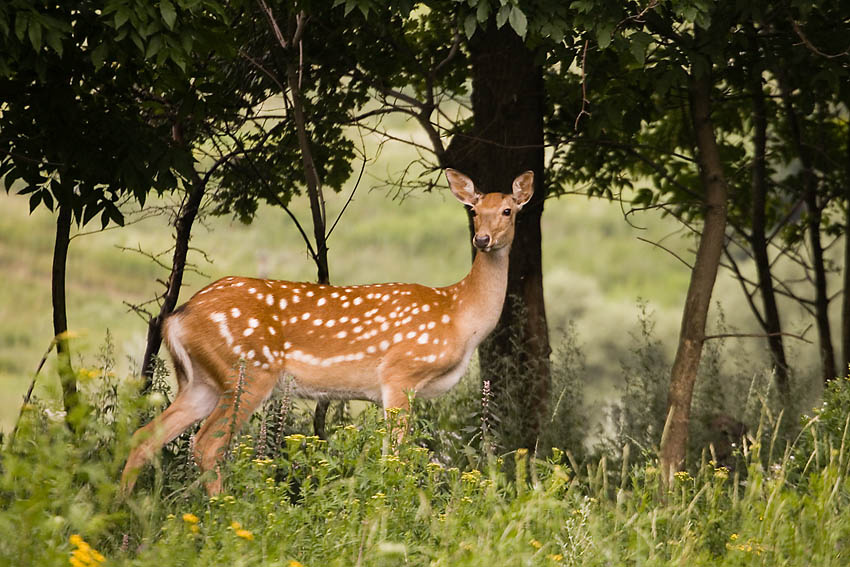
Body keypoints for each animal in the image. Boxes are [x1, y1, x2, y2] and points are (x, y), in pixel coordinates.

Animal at [121, 169, 534, 495]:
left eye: (508, 210)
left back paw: (125, 514)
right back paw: (222, 510)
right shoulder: (400, 373)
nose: (482, 240)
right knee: (207, 445)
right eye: (474, 211)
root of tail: (177, 318)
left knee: (146, 436)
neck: (458, 314)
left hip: (202, 382)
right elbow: (396, 456)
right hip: (248, 371)